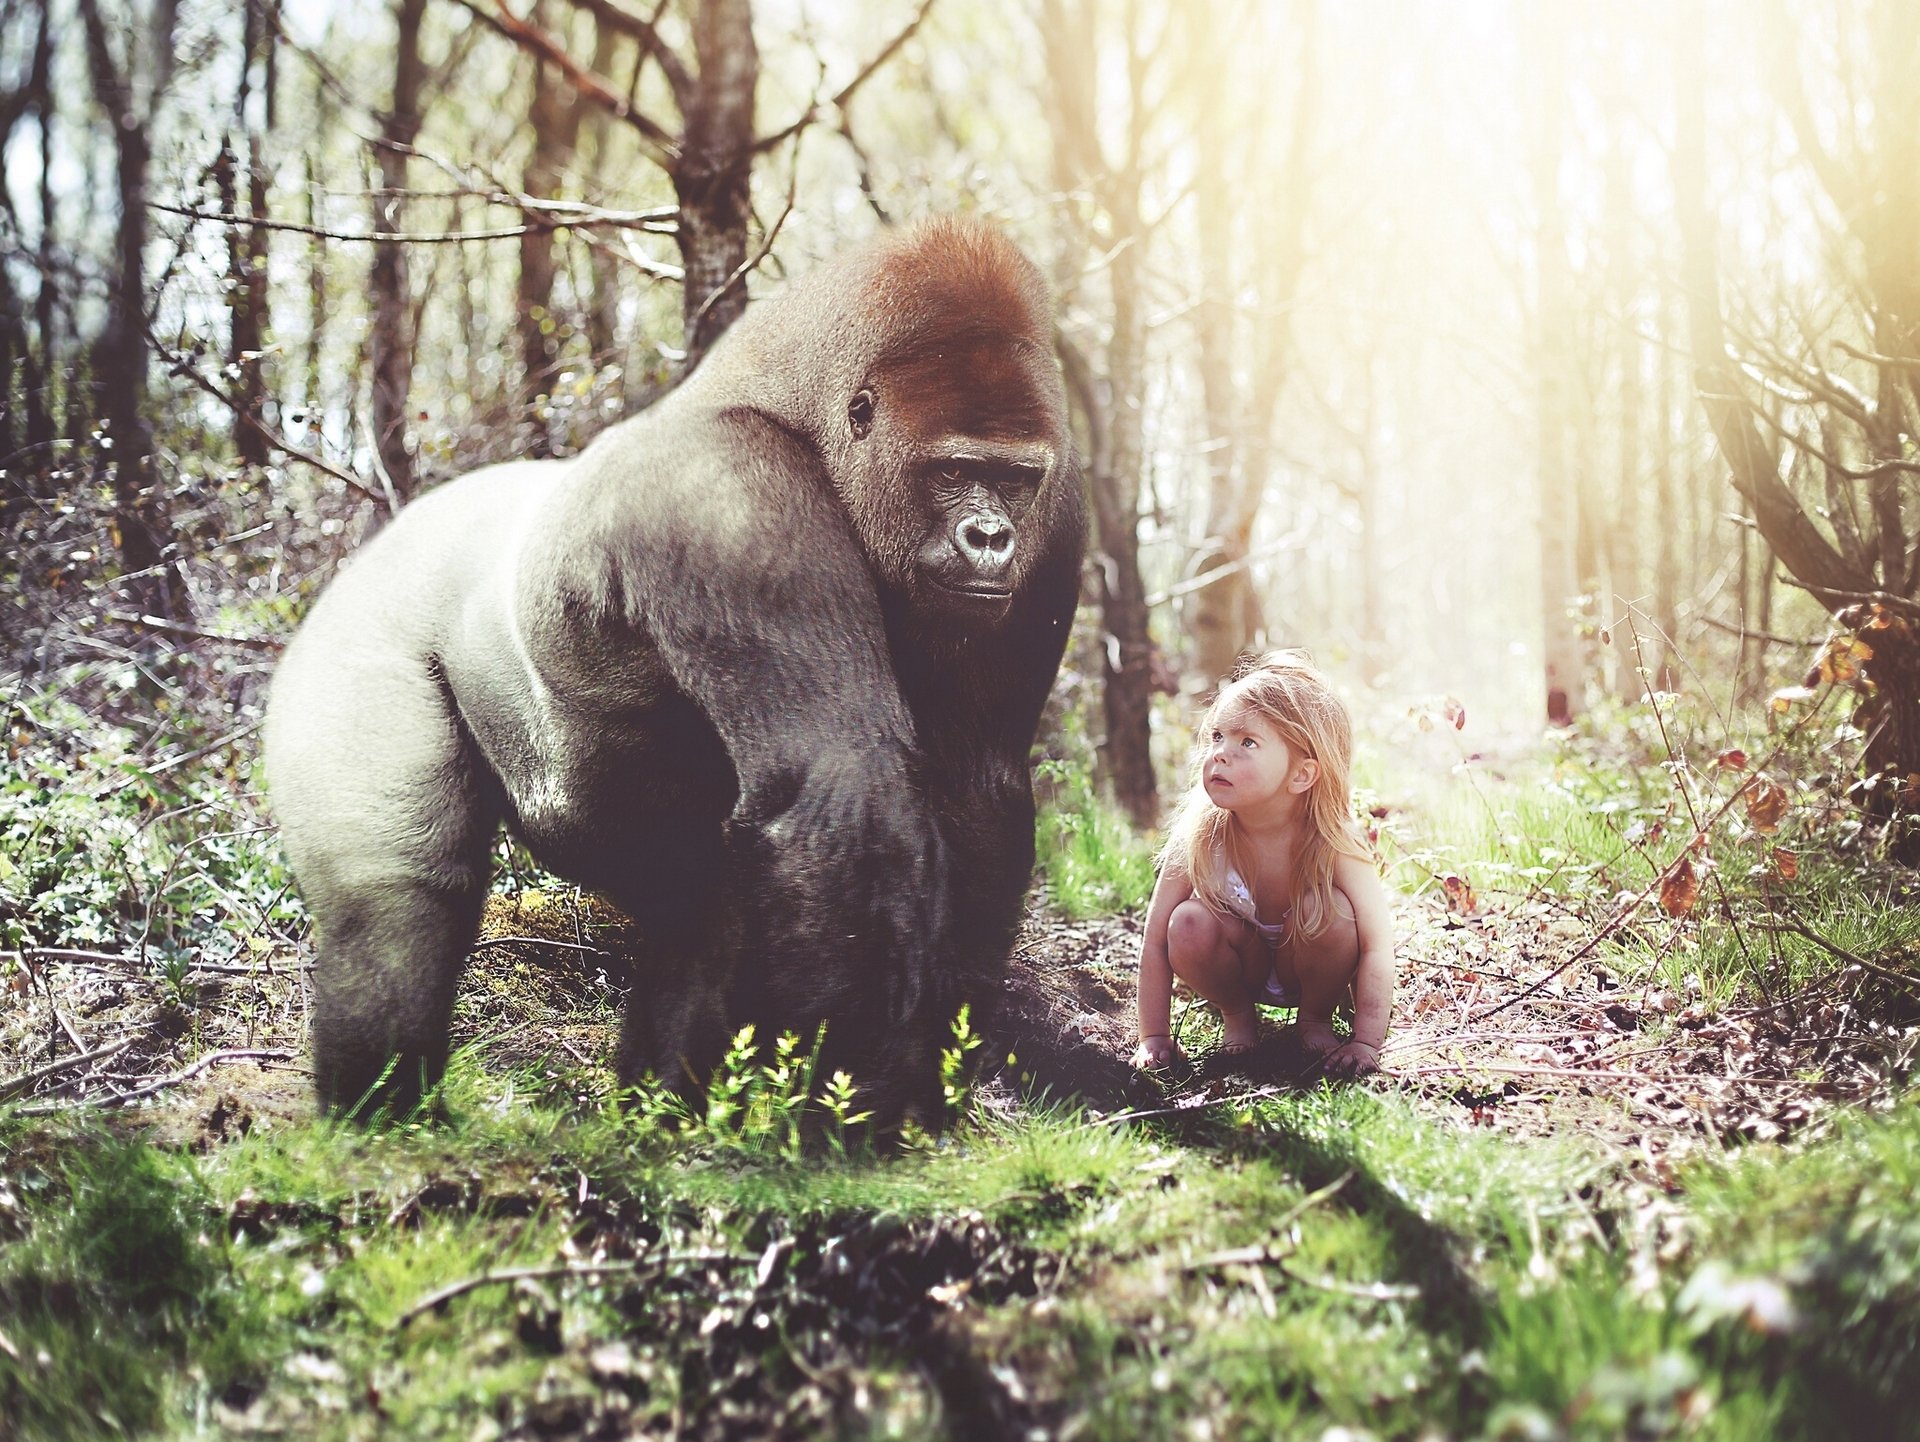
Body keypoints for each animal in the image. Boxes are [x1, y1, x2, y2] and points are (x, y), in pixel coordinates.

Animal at [263, 217, 1086, 1121]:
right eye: (953, 471)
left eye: (1014, 479)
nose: (991, 538)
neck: (800, 410)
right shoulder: (730, 497)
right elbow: (842, 787)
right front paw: (848, 1119)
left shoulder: (1059, 514)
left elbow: (977, 786)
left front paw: (922, 1085)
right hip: (361, 624)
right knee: (397, 903)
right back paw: (382, 1112)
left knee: (697, 909)